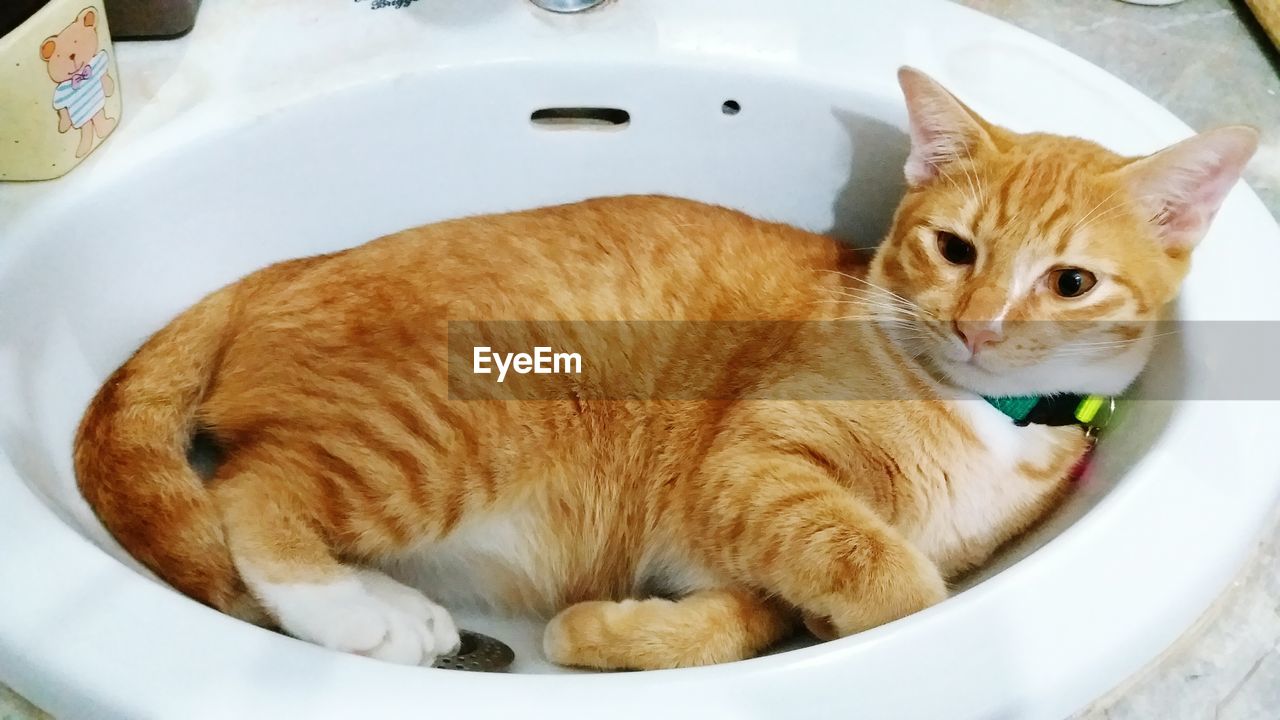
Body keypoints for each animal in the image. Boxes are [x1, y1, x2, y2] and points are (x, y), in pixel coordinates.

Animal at [74, 68, 1254, 666]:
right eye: (955, 249)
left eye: (1069, 281)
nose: (977, 326)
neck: (979, 416)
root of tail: (284, 267)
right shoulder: (752, 465)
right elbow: (893, 580)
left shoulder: (751, 569)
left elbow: (742, 625)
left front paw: (607, 633)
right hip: (439, 435)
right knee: (252, 494)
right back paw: (353, 614)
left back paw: (404, 613)